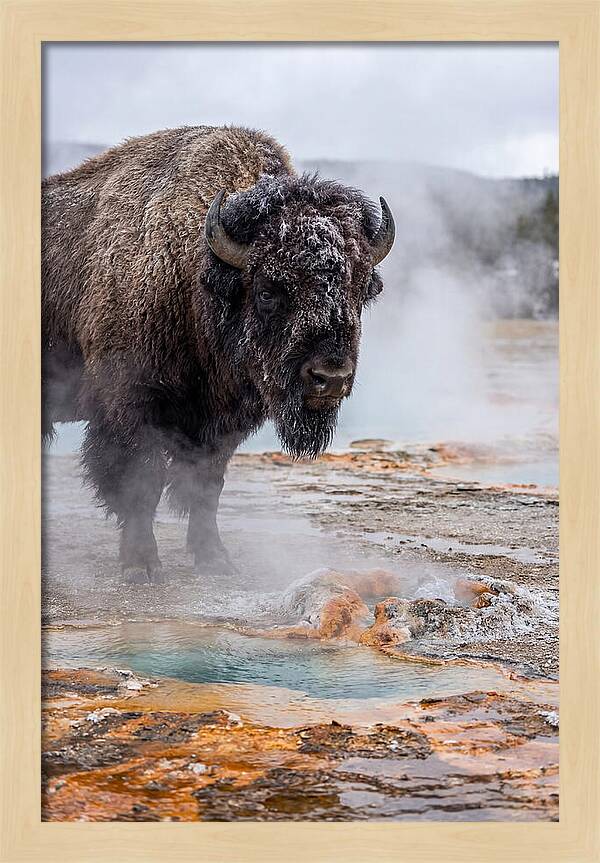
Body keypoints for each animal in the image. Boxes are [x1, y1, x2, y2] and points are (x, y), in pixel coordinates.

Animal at [42, 125, 395, 581]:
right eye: (267, 291)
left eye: (360, 290)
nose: (329, 378)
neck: (195, 274)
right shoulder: (129, 408)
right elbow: (142, 483)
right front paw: (142, 566)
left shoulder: (221, 425)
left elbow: (207, 487)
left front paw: (215, 558)